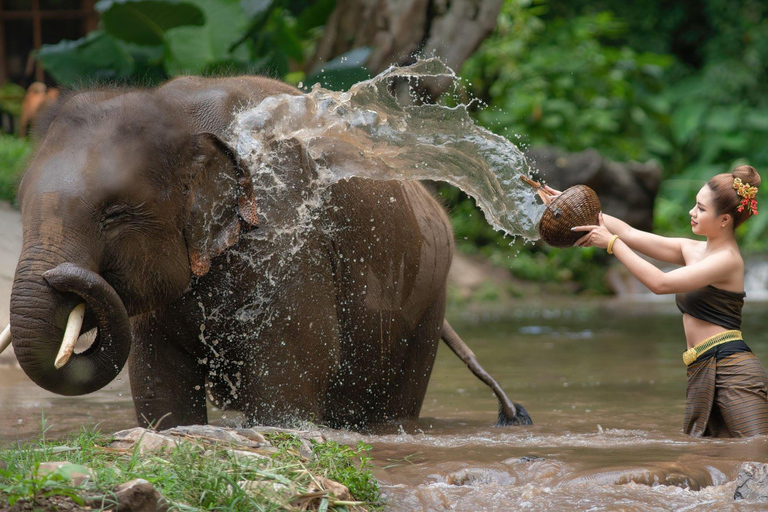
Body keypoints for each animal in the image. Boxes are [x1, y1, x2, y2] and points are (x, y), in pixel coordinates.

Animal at [0, 74, 532, 430]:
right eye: (20, 205)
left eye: (113, 214)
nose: (59, 278)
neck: (176, 112)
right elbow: (158, 384)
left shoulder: (288, 238)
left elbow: (291, 376)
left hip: (426, 303)